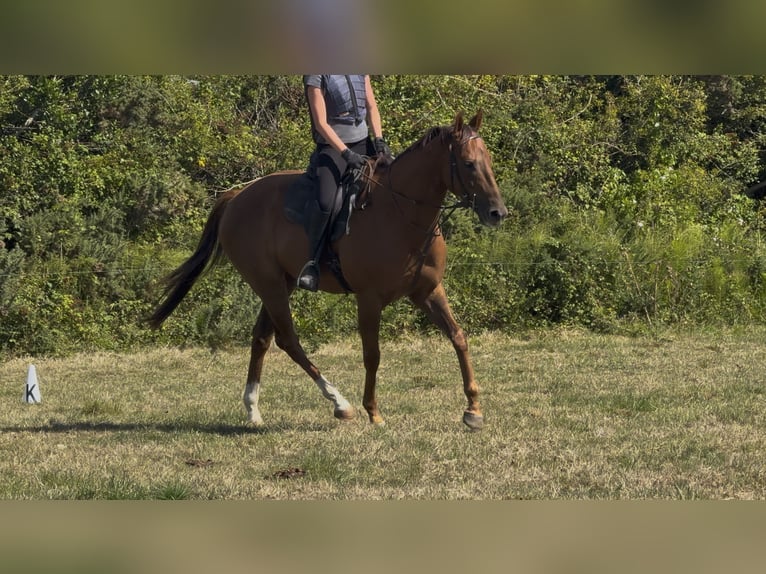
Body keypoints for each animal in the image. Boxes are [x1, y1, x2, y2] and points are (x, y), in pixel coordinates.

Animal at [148, 111, 508, 430]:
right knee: (288, 339)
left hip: (281, 283)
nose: (497, 213)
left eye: (488, 160)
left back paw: (253, 409)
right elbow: (372, 354)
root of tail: (236, 197)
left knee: (262, 338)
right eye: (468, 163)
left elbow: (458, 337)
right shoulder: (369, 299)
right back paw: (340, 402)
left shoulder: (428, 292)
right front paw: (373, 412)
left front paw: (473, 410)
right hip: (269, 284)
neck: (401, 214)